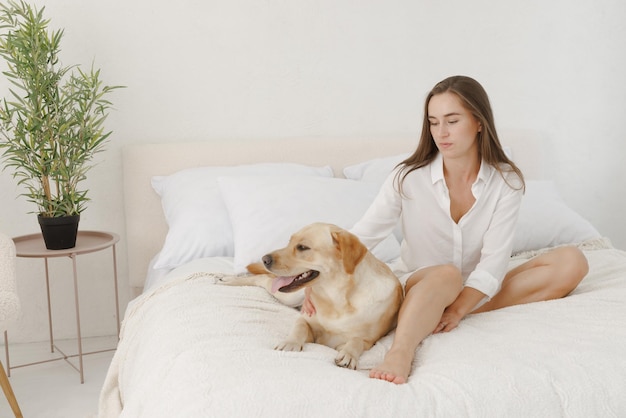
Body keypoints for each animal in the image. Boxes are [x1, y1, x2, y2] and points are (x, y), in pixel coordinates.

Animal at [222, 222, 402, 370]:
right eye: (289, 241)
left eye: (302, 247)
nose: (265, 259)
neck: (336, 298)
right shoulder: (306, 321)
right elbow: (299, 328)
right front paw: (290, 342)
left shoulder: (368, 340)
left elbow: (356, 341)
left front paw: (349, 355)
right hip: (290, 296)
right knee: (262, 279)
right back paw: (227, 279)